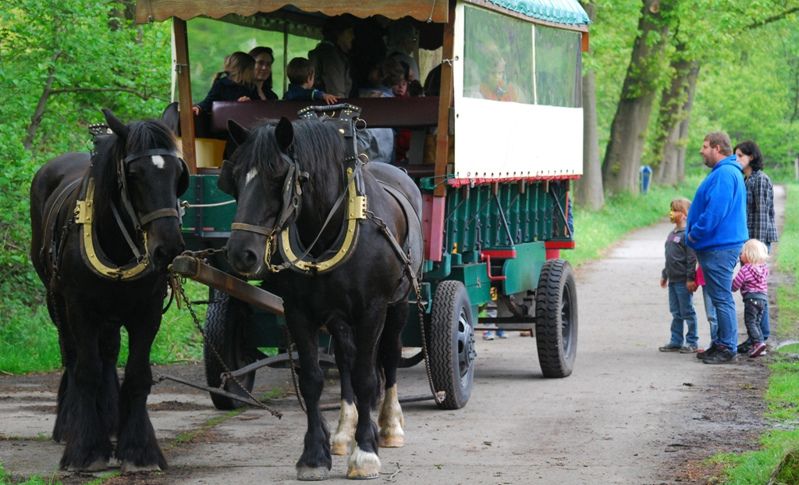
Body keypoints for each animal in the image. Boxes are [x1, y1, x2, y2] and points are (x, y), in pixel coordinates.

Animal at [29, 108, 189, 470]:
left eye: (178, 174)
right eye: (134, 174)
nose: (168, 248)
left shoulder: (147, 311)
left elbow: (137, 374)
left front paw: (139, 449)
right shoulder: (80, 309)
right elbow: (86, 370)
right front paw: (86, 449)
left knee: (108, 353)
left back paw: (111, 419)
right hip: (58, 301)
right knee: (73, 355)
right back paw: (71, 423)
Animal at [219, 115, 418, 478]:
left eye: (277, 176)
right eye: (235, 177)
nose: (241, 254)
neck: (330, 228)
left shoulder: (372, 309)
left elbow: (367, 377)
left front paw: (365, 452)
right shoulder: (298, 312)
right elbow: (312, 379)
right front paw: (314, 455)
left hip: (398, 304)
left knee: (389, 354)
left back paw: (389, 425)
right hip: (338, 316)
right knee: (345, 359)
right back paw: (344, 431)